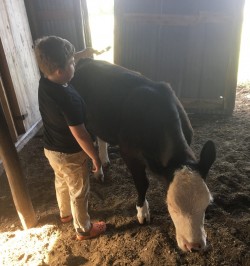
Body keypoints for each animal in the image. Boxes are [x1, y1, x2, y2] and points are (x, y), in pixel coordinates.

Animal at [71, 58, 216, 251]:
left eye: (207, 204)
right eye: (172, 206)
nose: (194, 246)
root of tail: (86, 60)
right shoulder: (130, 154)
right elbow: (142, 183)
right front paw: (142, 212)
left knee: (101, 138)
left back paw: (104, 160)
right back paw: (98, 171)